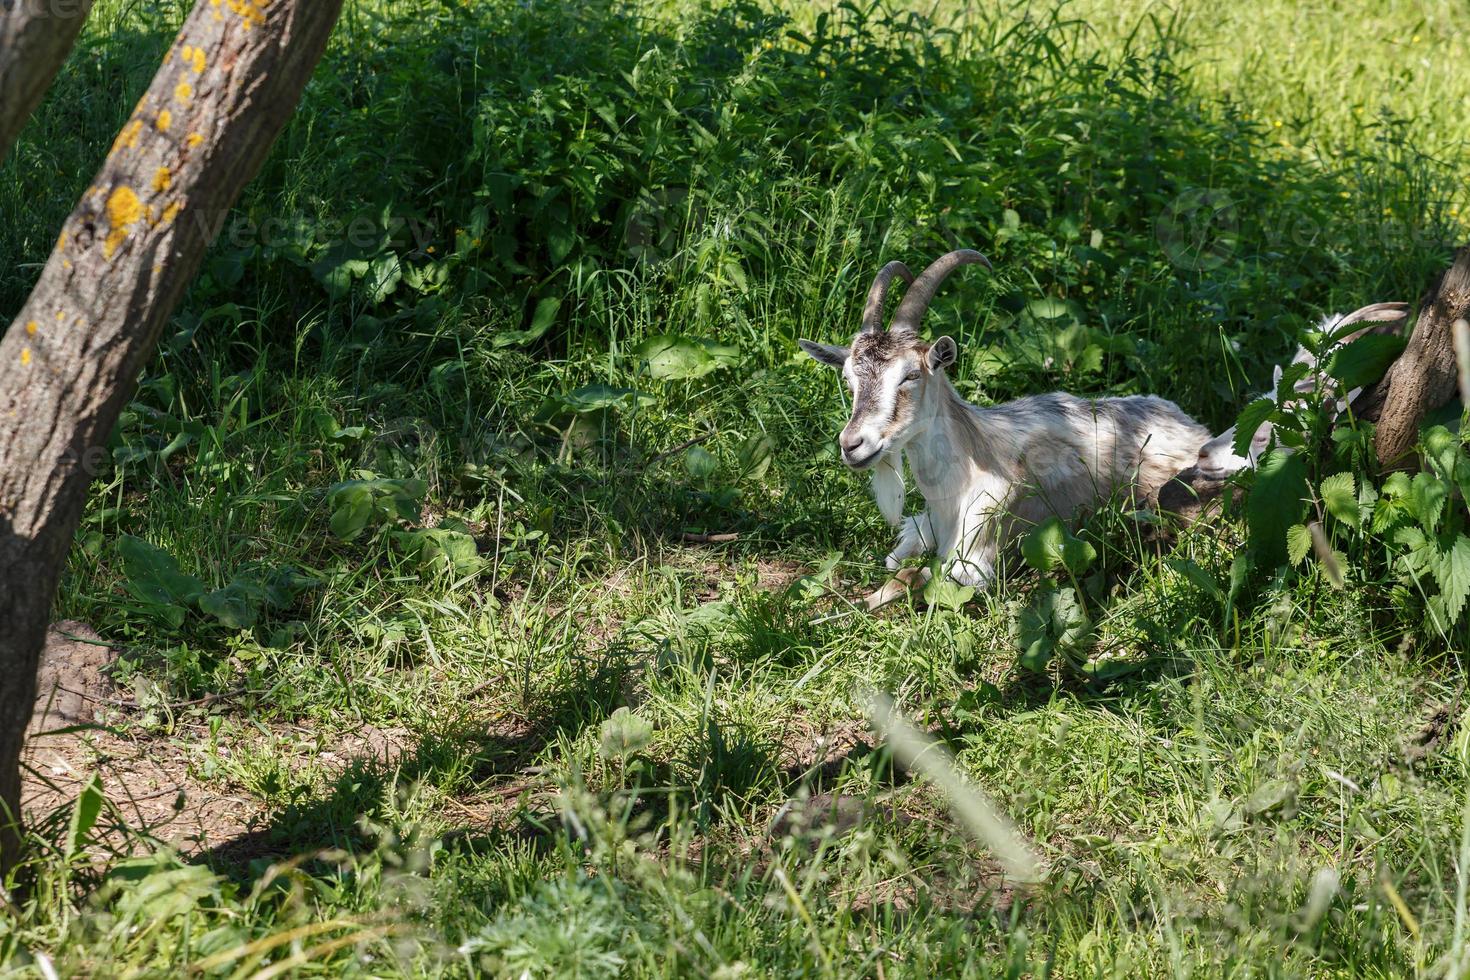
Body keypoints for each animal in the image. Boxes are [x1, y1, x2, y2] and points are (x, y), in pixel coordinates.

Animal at [805, 252, 1205, 590]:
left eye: (910, 376)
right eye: (849, 380)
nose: (852, 445)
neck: (952, 494)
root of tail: (1194, 426)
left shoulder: (973, 563)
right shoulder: (917, 530)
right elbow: (893, 564)